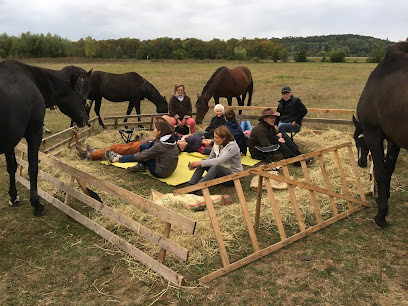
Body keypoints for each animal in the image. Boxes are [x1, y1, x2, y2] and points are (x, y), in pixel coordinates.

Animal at [0, 59, 89, 216]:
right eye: (79, 97)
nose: (85, 120)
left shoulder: (10, 142)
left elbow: (12, 166)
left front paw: (14, 197)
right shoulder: (34, 133)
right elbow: (33, 168)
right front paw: (36, 204)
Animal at [352, 40, 408, 227]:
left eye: (357, 141)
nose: (361, 163)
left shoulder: (373, 135)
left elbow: (380, 171)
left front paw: (381, 214)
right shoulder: (393, 139)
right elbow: (389, 168)